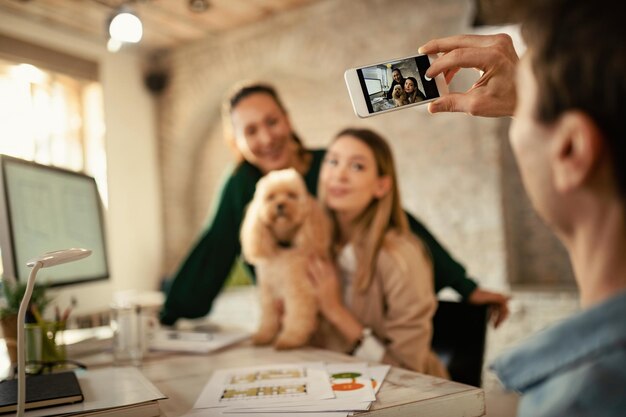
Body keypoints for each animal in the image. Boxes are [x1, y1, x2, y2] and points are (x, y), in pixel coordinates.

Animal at [239, 167, 332, 350]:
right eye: (271, 197)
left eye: (291, 195)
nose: (280, 205)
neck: (283, 249)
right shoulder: (268, 290)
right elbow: (268, 317)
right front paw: (263, 336)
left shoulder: (298, 290)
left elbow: (296, 315)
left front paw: (289, 339)